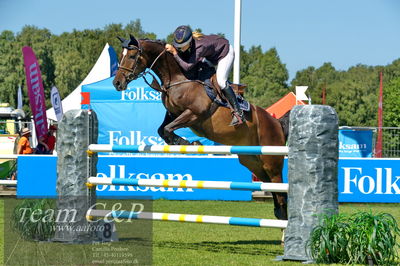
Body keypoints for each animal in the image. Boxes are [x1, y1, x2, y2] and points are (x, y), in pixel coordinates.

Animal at [113, 35, 290, 222]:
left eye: (132, 56)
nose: (117, 83)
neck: (177, 78)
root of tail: (277, 122)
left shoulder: (194, 114)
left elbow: (168, 129)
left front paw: (191, 143)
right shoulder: (173, 113)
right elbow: (163, 130)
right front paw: (185, 142)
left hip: (271, 162)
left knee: (281, 193)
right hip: (253, 163)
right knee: (274, 191)